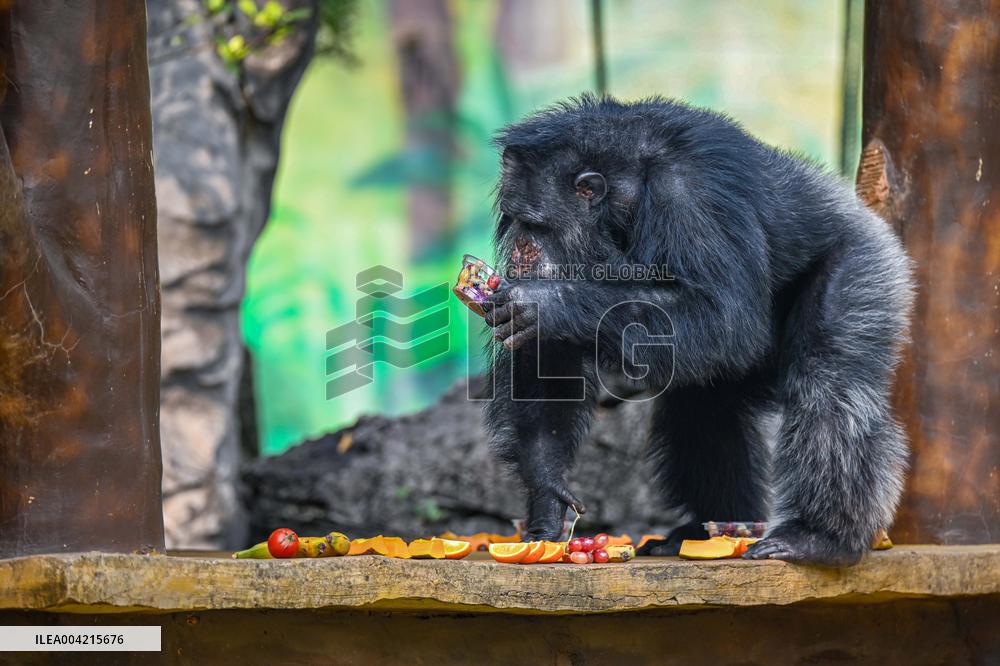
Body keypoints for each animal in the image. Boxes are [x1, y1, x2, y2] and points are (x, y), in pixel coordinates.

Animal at [482, 95, 913, 567]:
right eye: (515, 218)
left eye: (536, 223)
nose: (522, 250)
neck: (623, 195)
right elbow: (548, 363)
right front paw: (547, 496)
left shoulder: (690, 198)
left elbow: (723, 315)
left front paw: (547, 301)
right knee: (705, 407)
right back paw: (707, 529)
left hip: (865, 266)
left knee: (829, 381)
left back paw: (817, 537)